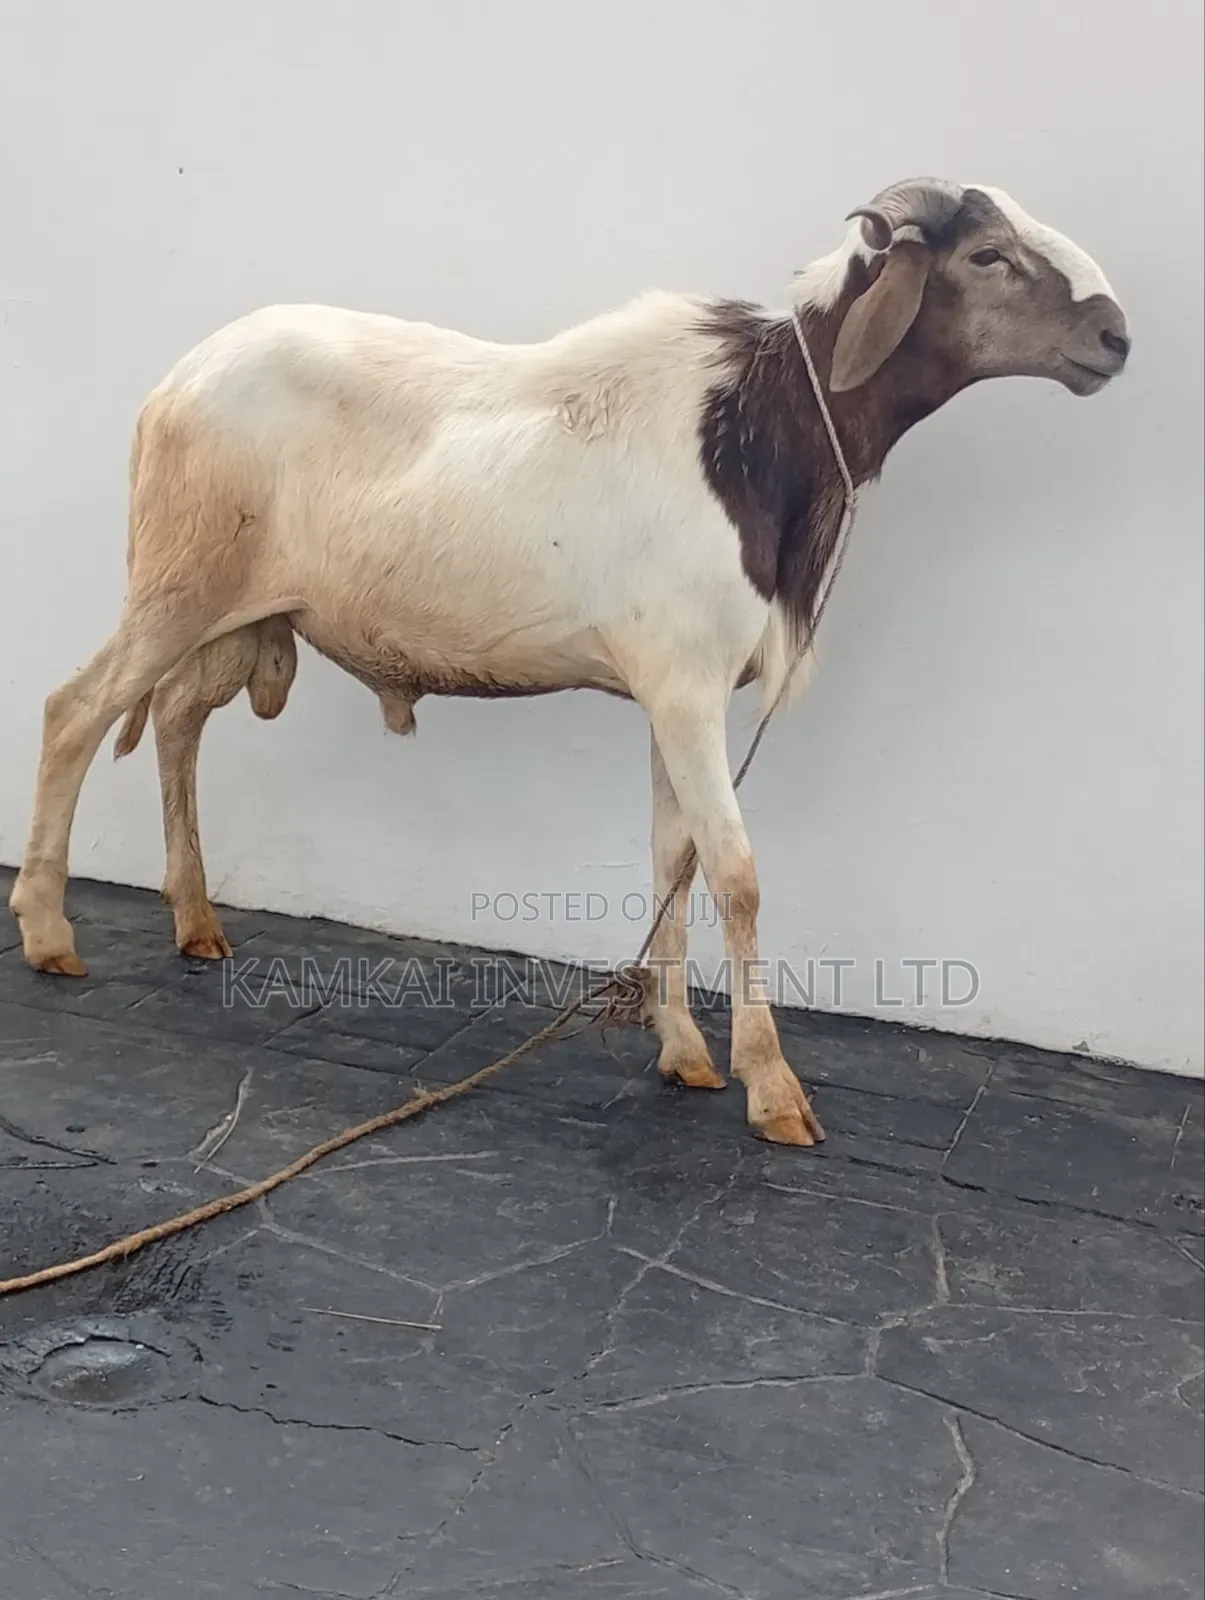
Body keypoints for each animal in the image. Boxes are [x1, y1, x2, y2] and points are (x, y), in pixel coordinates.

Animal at [8, 177, 1129, 1147]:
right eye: (985, 255)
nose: (1114, 338)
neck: (753, 430)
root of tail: (175, 384)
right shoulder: (684, 688)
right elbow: (735, 873)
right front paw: (773, 1089)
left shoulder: (674, 697)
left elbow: (673, 861)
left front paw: (684, 1053)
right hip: (178, 587)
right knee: (75, 710)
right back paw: (50, 934)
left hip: (232, 613)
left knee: (175, 720)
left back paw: (195, 921)